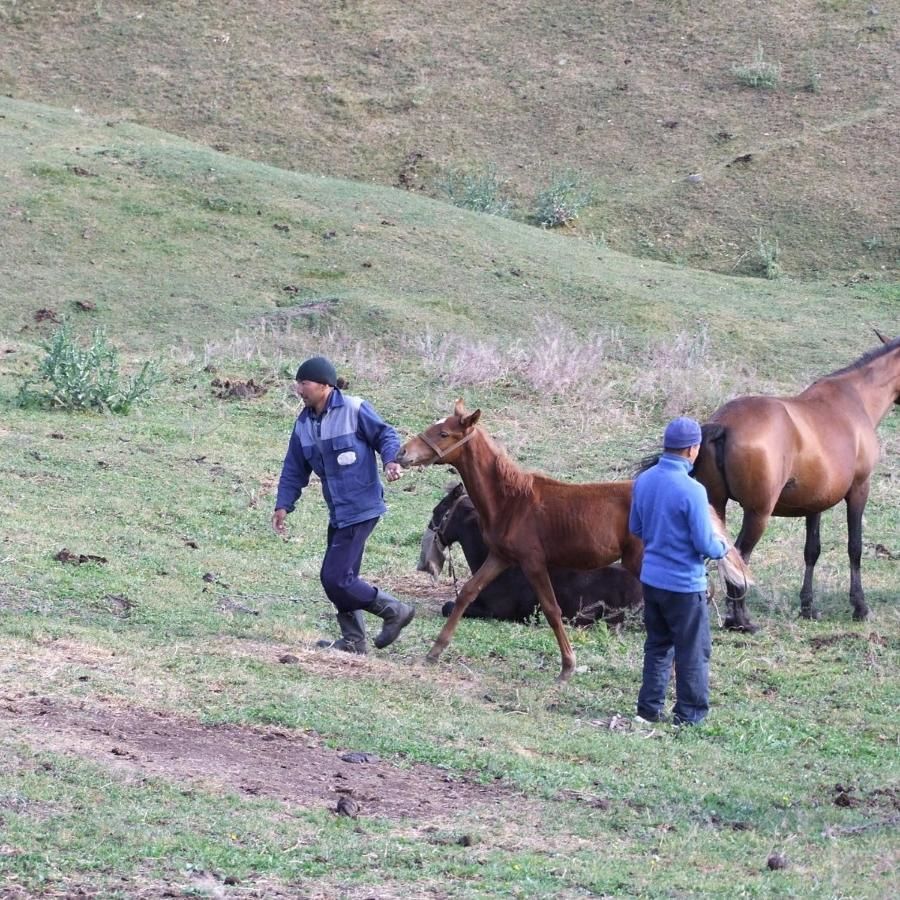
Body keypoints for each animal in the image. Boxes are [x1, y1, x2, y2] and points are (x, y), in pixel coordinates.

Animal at [696, 332, 900, 632]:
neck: (856, 398)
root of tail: (723, 424)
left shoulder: (815, 503)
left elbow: (811, 551)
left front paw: (807, 607)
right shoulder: (859, 489)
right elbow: (855, 547)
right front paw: (860, 607)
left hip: (716, 507)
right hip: (758, 514)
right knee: (740, 556)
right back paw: (741, 620)